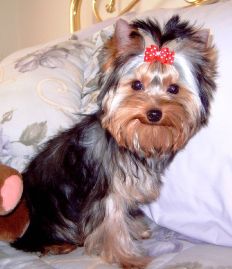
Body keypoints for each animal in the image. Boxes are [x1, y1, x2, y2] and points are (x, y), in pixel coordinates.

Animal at [11, 15, 217, 266]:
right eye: (137, 85)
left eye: (174, 89)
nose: (154, 113)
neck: (130, 142)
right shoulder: (106, 191)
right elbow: (112, 223)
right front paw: (127, 257)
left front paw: (136, 231)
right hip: (52, 208)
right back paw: (58, 245)